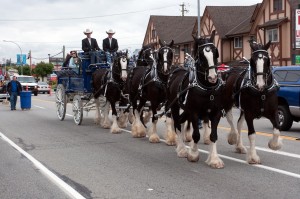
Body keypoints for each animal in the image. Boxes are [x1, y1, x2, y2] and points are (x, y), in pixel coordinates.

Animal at [164, 30, 225, 168]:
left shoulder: (216, 113)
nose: (213, 77)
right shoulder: (194, 112)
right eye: (201, 55)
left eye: (216, 52)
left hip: (186, 110)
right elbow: (196, 135)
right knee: (177, 124)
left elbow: (213, 135)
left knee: (181, 121)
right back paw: (181, 149)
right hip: (175, 106)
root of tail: (175, 71)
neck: (207, 88)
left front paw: (214, 159)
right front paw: (193, 154)